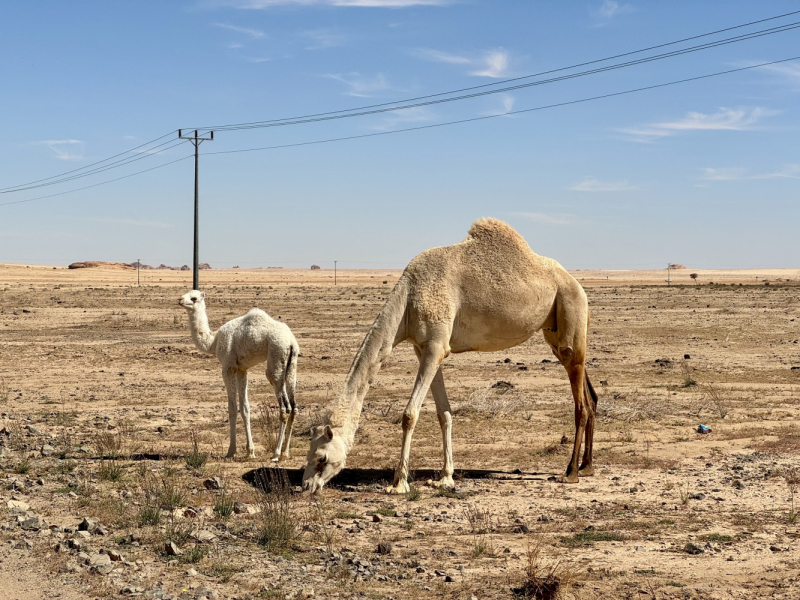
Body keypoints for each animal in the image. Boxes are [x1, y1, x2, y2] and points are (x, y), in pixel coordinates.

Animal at [180, 290, 298, 460]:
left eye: (194, 298)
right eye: (185, 294)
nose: (180, 300)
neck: (213, 341)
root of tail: (291, 342)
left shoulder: (228, 368)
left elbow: (232, 408)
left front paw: (231, 451)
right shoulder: (242, 369)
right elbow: (245, 408)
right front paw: (250, 451)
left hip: (276, 360)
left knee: (285, 408)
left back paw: (276, 454)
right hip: (291, 366)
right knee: (294, 408)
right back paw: (285, 453)